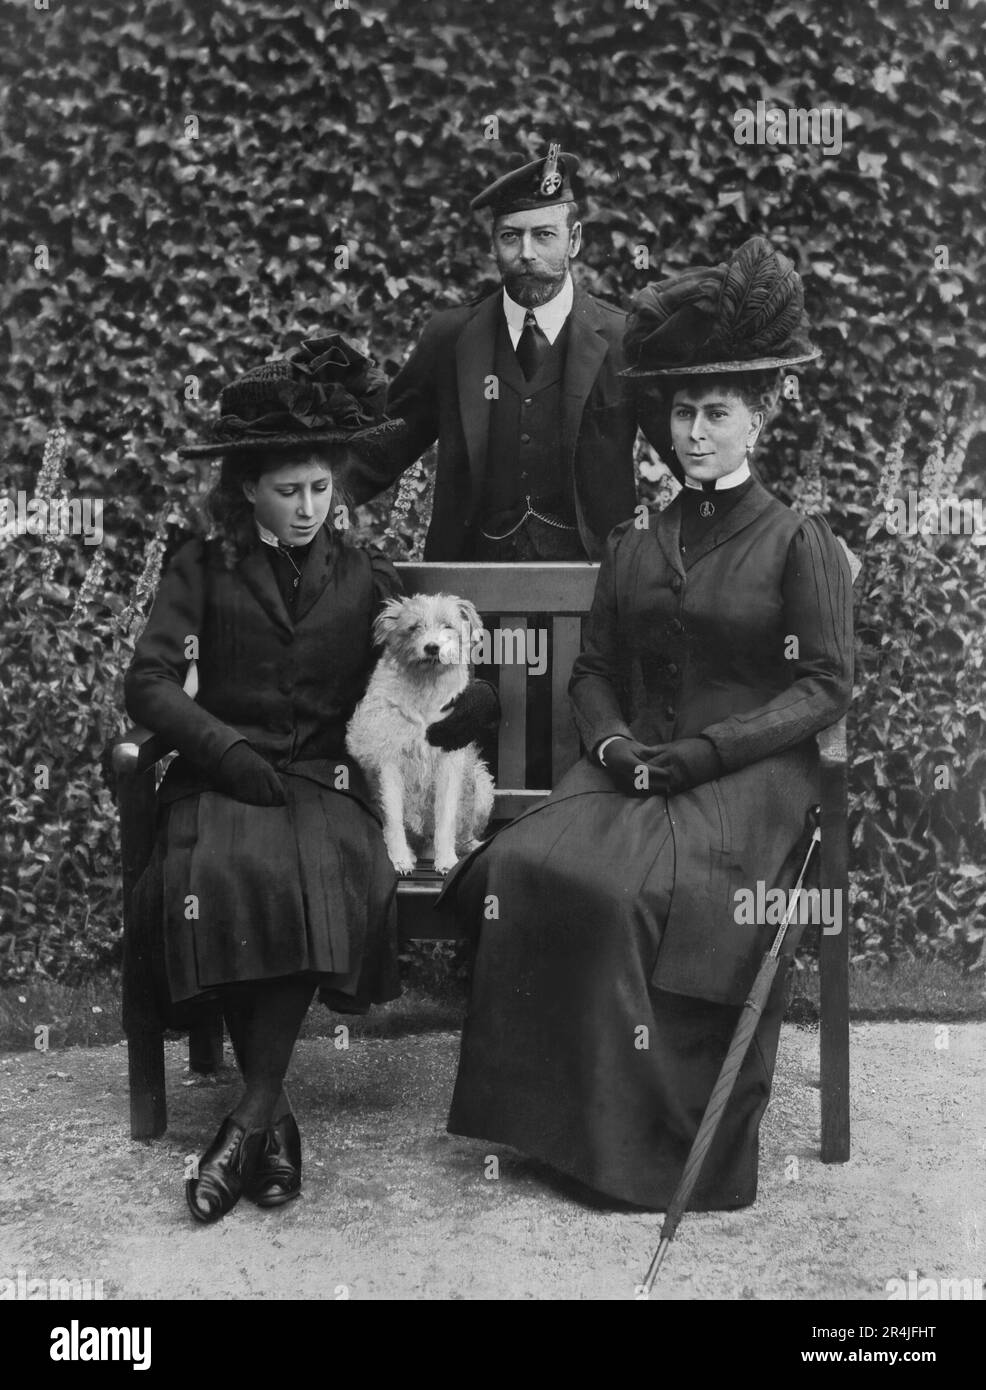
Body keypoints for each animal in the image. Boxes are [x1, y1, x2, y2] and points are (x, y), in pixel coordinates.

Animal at [350, 592, 495, 872]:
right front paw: (399, 859)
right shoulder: (389, 762)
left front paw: (446, 860)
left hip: (481, 785)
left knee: (463, 833)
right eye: (414, 627)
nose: (432, 647)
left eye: (448, 625)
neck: (425, 685)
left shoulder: (448, 761)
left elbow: (446, 817)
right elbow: (393, 816)